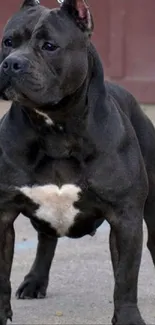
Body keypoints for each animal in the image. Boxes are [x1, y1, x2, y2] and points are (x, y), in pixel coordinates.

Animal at [0, 0, 154, 322]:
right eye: (8, 42)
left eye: (49, 46)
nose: (11, 64)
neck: (56, 127)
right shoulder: (3, 215)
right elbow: (0, 278)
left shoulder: (126, 217)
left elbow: (126, 278)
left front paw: (128, 318)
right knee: (46, 240)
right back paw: (35, 281)